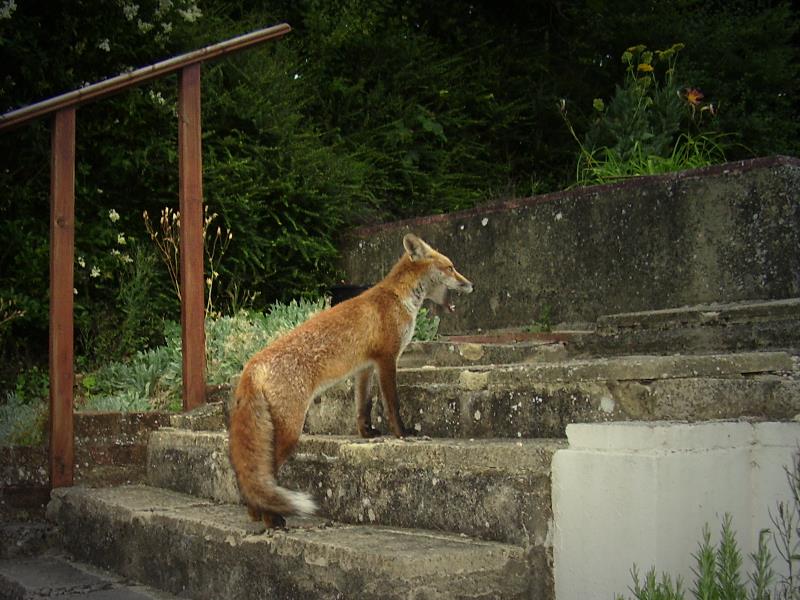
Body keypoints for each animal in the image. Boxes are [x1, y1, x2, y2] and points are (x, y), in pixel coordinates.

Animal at [228, 234, 472, 524]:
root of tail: (251, 365)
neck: (398, 298)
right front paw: (403, 434)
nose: (471, 284)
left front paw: (367, 433)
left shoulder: (364, 368)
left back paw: (257, 514)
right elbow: (392, 404)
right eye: (451, 267)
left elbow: (362, 406)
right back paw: (272, 520)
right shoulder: (387, 358)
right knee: (266, 475)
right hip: (290, 430)